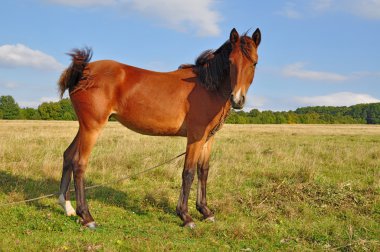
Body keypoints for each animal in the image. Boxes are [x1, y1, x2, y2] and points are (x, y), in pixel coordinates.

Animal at [57, 27, 262, 228]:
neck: (207, 87)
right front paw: (185, 216)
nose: (238, 100)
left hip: (84, 127)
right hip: (92, 128)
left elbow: (203, 171)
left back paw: (67, 207)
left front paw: (205, 211)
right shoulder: (195, 137)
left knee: (68, 156)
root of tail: (83, 70)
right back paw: (87, 216)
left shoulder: (207, 138)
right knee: (79, 164)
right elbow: (188, 172)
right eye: (231, 62)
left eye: (254, 63)